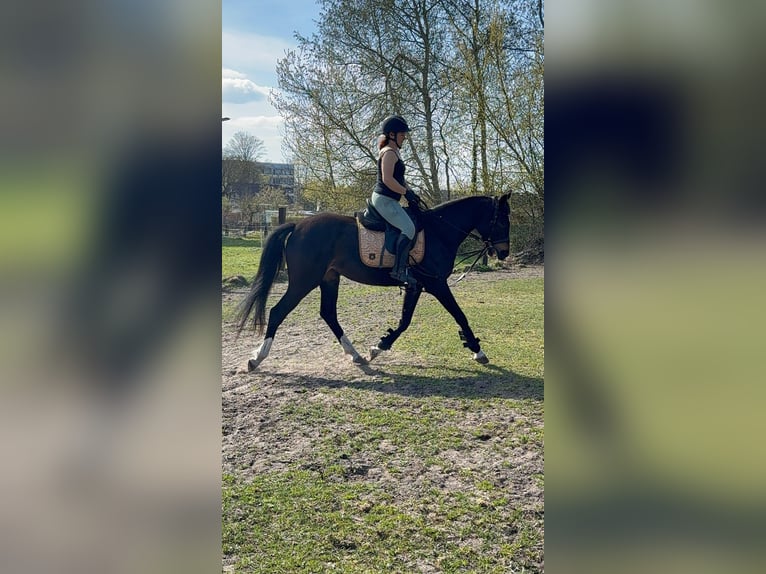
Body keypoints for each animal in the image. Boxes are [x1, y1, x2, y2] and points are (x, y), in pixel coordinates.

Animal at [235, 193, 511, 371]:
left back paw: (355, 355)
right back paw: (256, 359)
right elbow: (459, 315)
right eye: (502, 220)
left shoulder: (416, 286)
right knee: (278, 311)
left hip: (329, 279)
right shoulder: (436, 285)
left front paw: (378, 347)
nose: (504, 252)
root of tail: (298, 225)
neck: (439, 233)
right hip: (304, 281)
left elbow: (404, 321)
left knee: (328, 314)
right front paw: (478, 351)